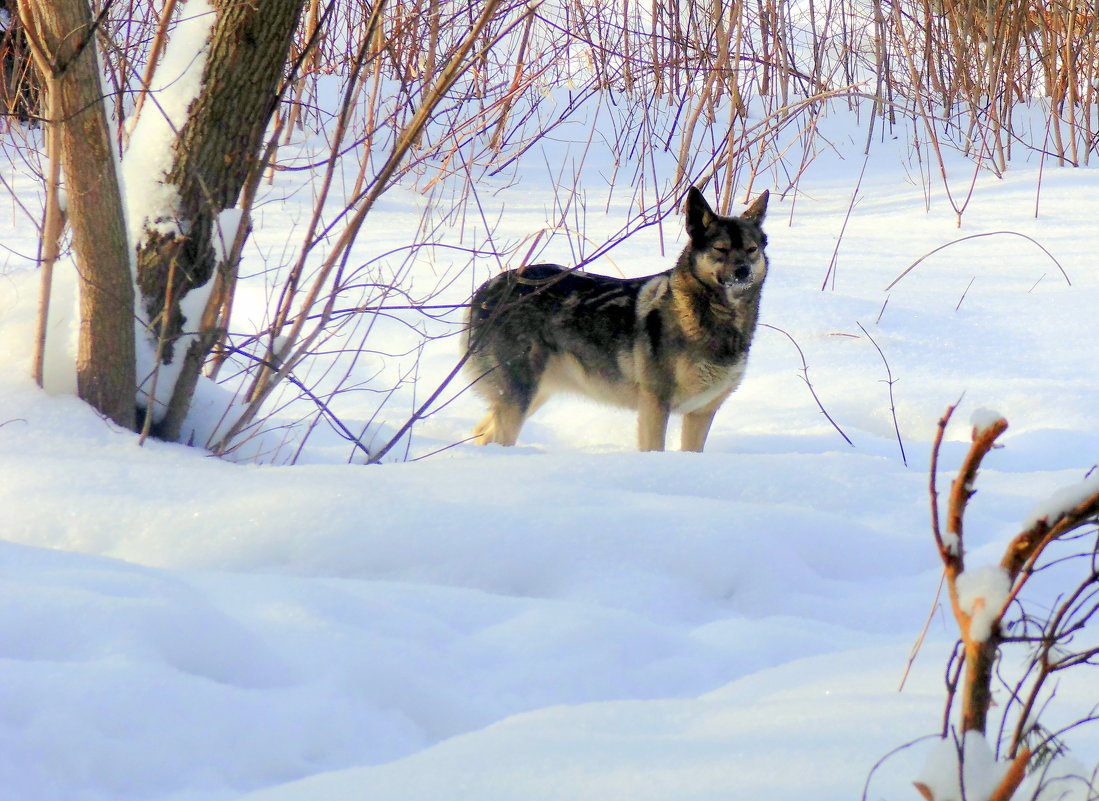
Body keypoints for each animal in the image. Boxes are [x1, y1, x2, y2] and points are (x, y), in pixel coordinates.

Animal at [459, 184, 769, 452]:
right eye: (721, 249)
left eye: (752, 249)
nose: (743, 271)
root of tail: (484, 291)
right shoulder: (655, 405)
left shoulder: (701, 411)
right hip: (519, 397)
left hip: (535, 393)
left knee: (481, 432)